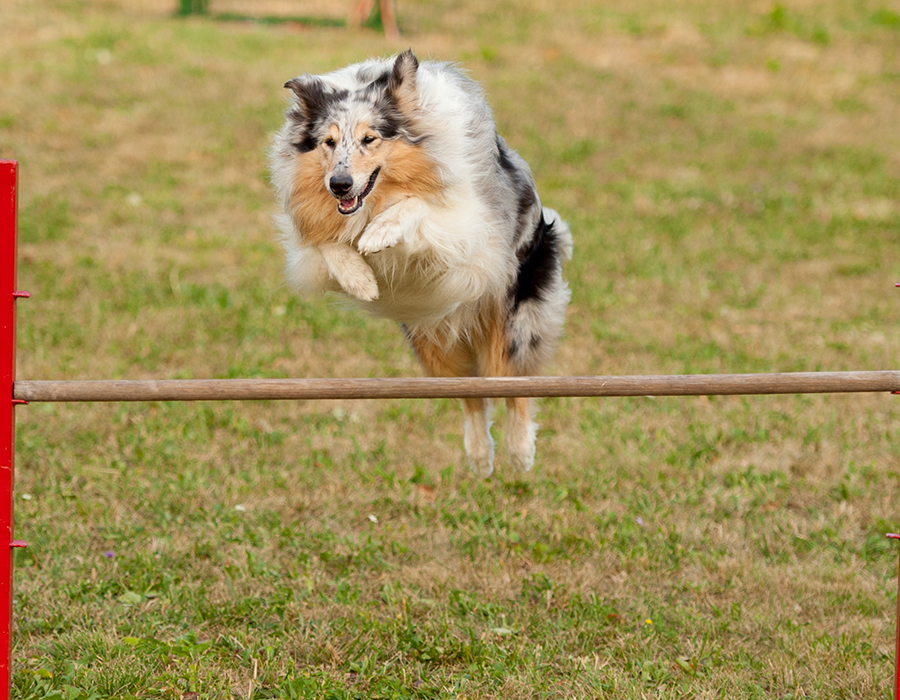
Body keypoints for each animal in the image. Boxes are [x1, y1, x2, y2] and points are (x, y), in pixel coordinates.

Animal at [270, 47, 572, 476]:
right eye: (328, 142)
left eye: (370, 138)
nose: (339, 185)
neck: (380, 196)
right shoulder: (310, 246)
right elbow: (328, 244)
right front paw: (360, 278)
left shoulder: (470, 229)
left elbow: (416, 209)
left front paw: (379, 234)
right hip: (430, 338)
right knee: (473, 396)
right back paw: (480, 457)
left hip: (515, 318)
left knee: (514, 384)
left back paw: (519, 452)